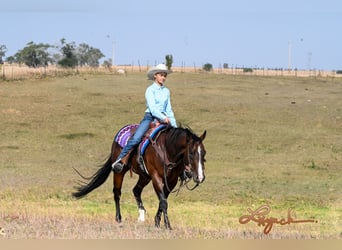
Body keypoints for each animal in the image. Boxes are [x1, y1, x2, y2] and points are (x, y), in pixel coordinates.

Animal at [72, 124, 206, 229]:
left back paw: (141, 216)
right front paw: (168, 226)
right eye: (191, 153)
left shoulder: (171, 181)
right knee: (117, 192)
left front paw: (157, 222)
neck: (166, 150)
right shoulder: (156, 177)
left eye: (204, 153)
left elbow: (162, 201)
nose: (200, 177)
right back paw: (119, 218)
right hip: (120, 171)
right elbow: (163, 202)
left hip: (144, 176)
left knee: (136, 190)